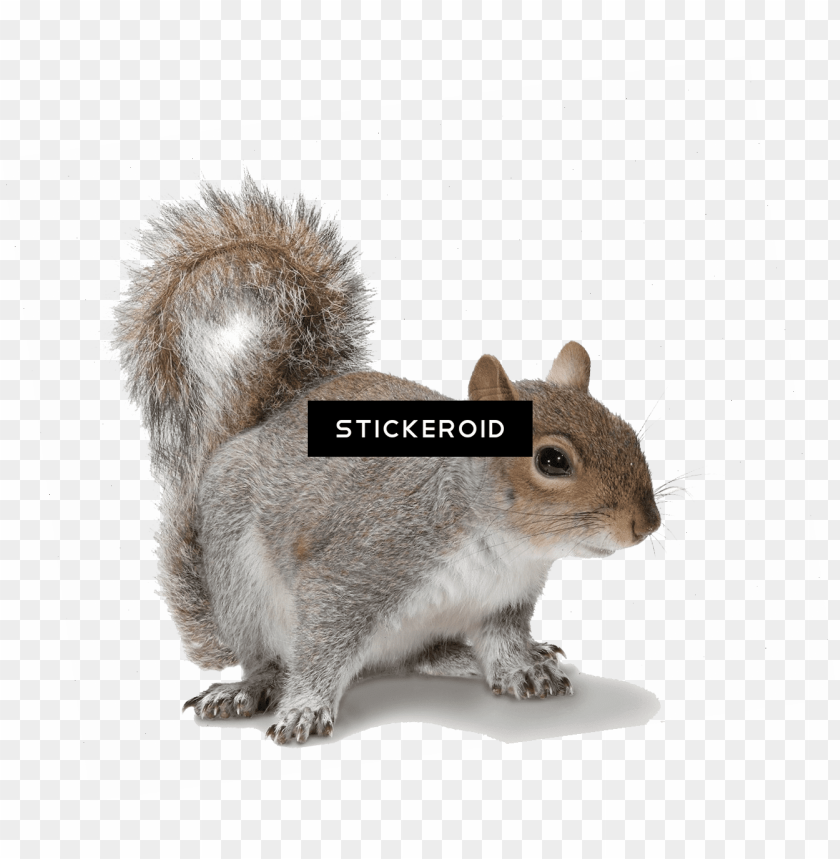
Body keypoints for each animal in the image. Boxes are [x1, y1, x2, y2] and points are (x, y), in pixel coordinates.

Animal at [114, 175, 662, 745]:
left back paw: (474, 656)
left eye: (627, 431)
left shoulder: (503, 603)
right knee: (268, 659)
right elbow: (321, 646)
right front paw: (304, 708)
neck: (503, 549)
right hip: (239, 583)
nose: (647, 523)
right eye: (553, 461)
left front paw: (523, 668)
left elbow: (504, 641)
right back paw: (249, 688)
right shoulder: (358, 568)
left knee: (418, 656)